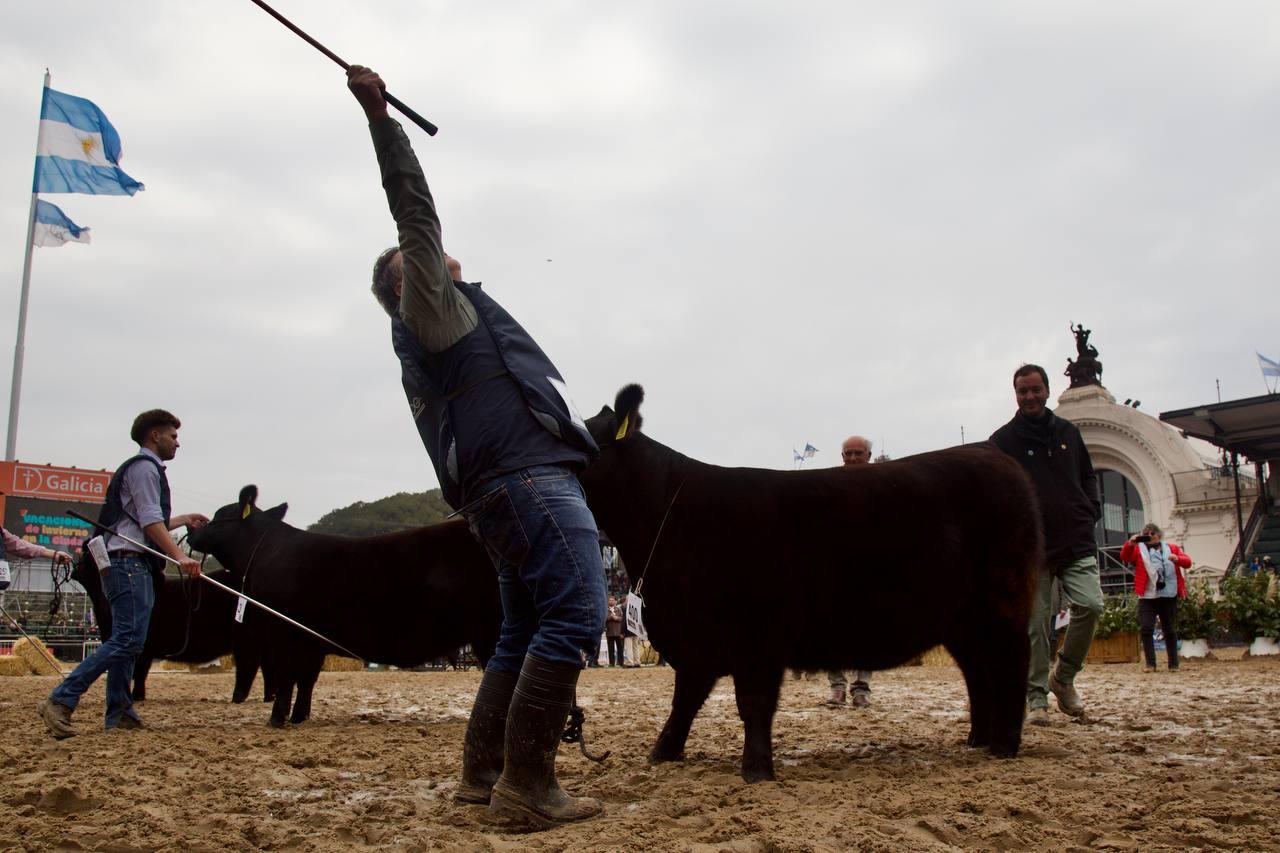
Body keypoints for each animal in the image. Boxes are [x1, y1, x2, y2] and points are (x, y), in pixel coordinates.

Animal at [71, 555, 266, 701]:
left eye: (82, 556)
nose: (72, 566)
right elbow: (138, 672)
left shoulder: (141, 647)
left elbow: (138, 672)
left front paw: (136, 696)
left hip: (246, 639)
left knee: (248, 666)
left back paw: (238, 696)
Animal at [186, 484, 501, 722]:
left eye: (218, 516)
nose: (191, 532)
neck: (266, 553)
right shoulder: (311, 641)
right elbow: (307, 679)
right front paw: (299, 717)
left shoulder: (285, 631)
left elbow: (287, 676)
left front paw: (276, 720)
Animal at [581, 381, 1039, 778]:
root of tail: (989, 452)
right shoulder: (696, 639)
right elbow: (685, 701)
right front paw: (663, 753)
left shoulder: (760, 632)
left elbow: (753, 702)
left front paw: (757, 770)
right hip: (961, 620)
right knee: (978, 671)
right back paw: (978, 739)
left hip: (1002, 602)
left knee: (1010, 662)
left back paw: (1004, 745)